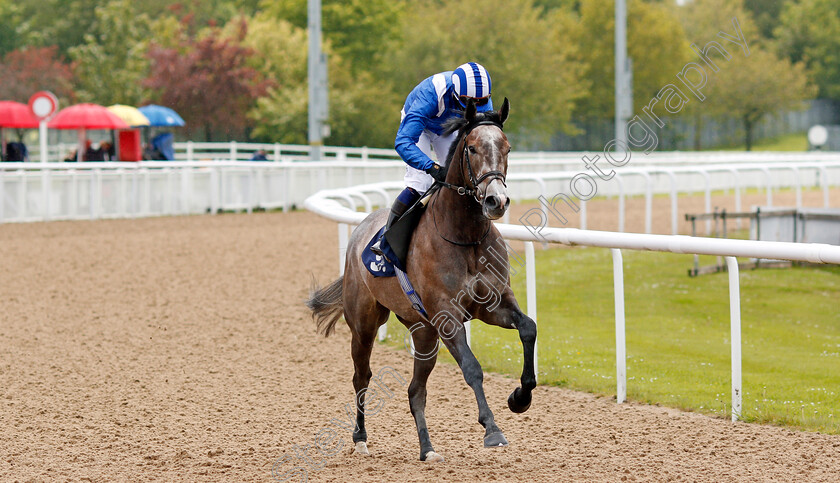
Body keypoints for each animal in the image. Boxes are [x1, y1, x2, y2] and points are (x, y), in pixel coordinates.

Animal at [308, 97, 540, 462]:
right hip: (364, 324)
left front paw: (520, 397)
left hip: (424, 332)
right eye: (471, 147)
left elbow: (528, 327)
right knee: (362, 377)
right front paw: (492, 430)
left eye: (507, 147)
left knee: (415, 390)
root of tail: (360, 231)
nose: (496, 201)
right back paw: (360, 437)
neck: (465, 237)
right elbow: (472, 367)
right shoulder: (447, 315)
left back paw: (427, 449)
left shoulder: (492, 305)